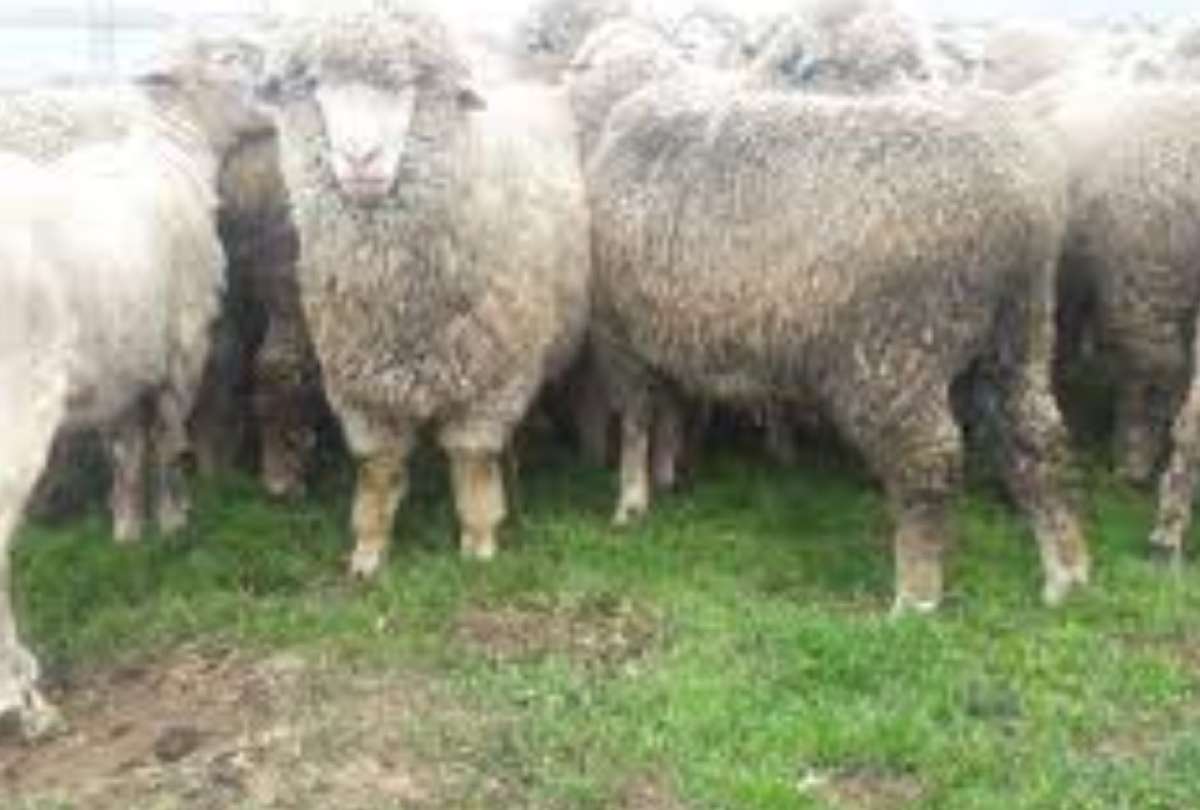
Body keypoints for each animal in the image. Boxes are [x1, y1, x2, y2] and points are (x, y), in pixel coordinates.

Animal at [260, 6, 590, 575]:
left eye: (409, 84)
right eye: (316, 85)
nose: (361, 158)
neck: (402, 298)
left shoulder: (492, 378)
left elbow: (472, 462)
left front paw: (479, 540)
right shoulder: (361, 380)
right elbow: (377, 467)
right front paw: (369, 549)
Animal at [579, 31, 1089, 612]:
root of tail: (1026, 211)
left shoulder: (617, 334)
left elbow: (638, 419)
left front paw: (631, 501)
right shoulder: (665, 333)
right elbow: (668, 409)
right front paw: (665, 478)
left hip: (895, 352)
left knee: (930, 461)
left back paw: (915, 598)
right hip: (1020, 330)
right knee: (1040, 438)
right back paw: (1066, 573)